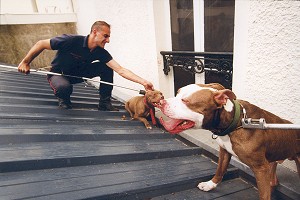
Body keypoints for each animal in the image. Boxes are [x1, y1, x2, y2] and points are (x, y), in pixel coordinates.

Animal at [158, 83, 298, 200]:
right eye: (177, 93)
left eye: (185, 101)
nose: (161, 102)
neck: (237, 122)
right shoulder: (224, 151)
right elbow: (220, 170)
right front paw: (210, 184)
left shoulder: (261, 168)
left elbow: (264, 194)